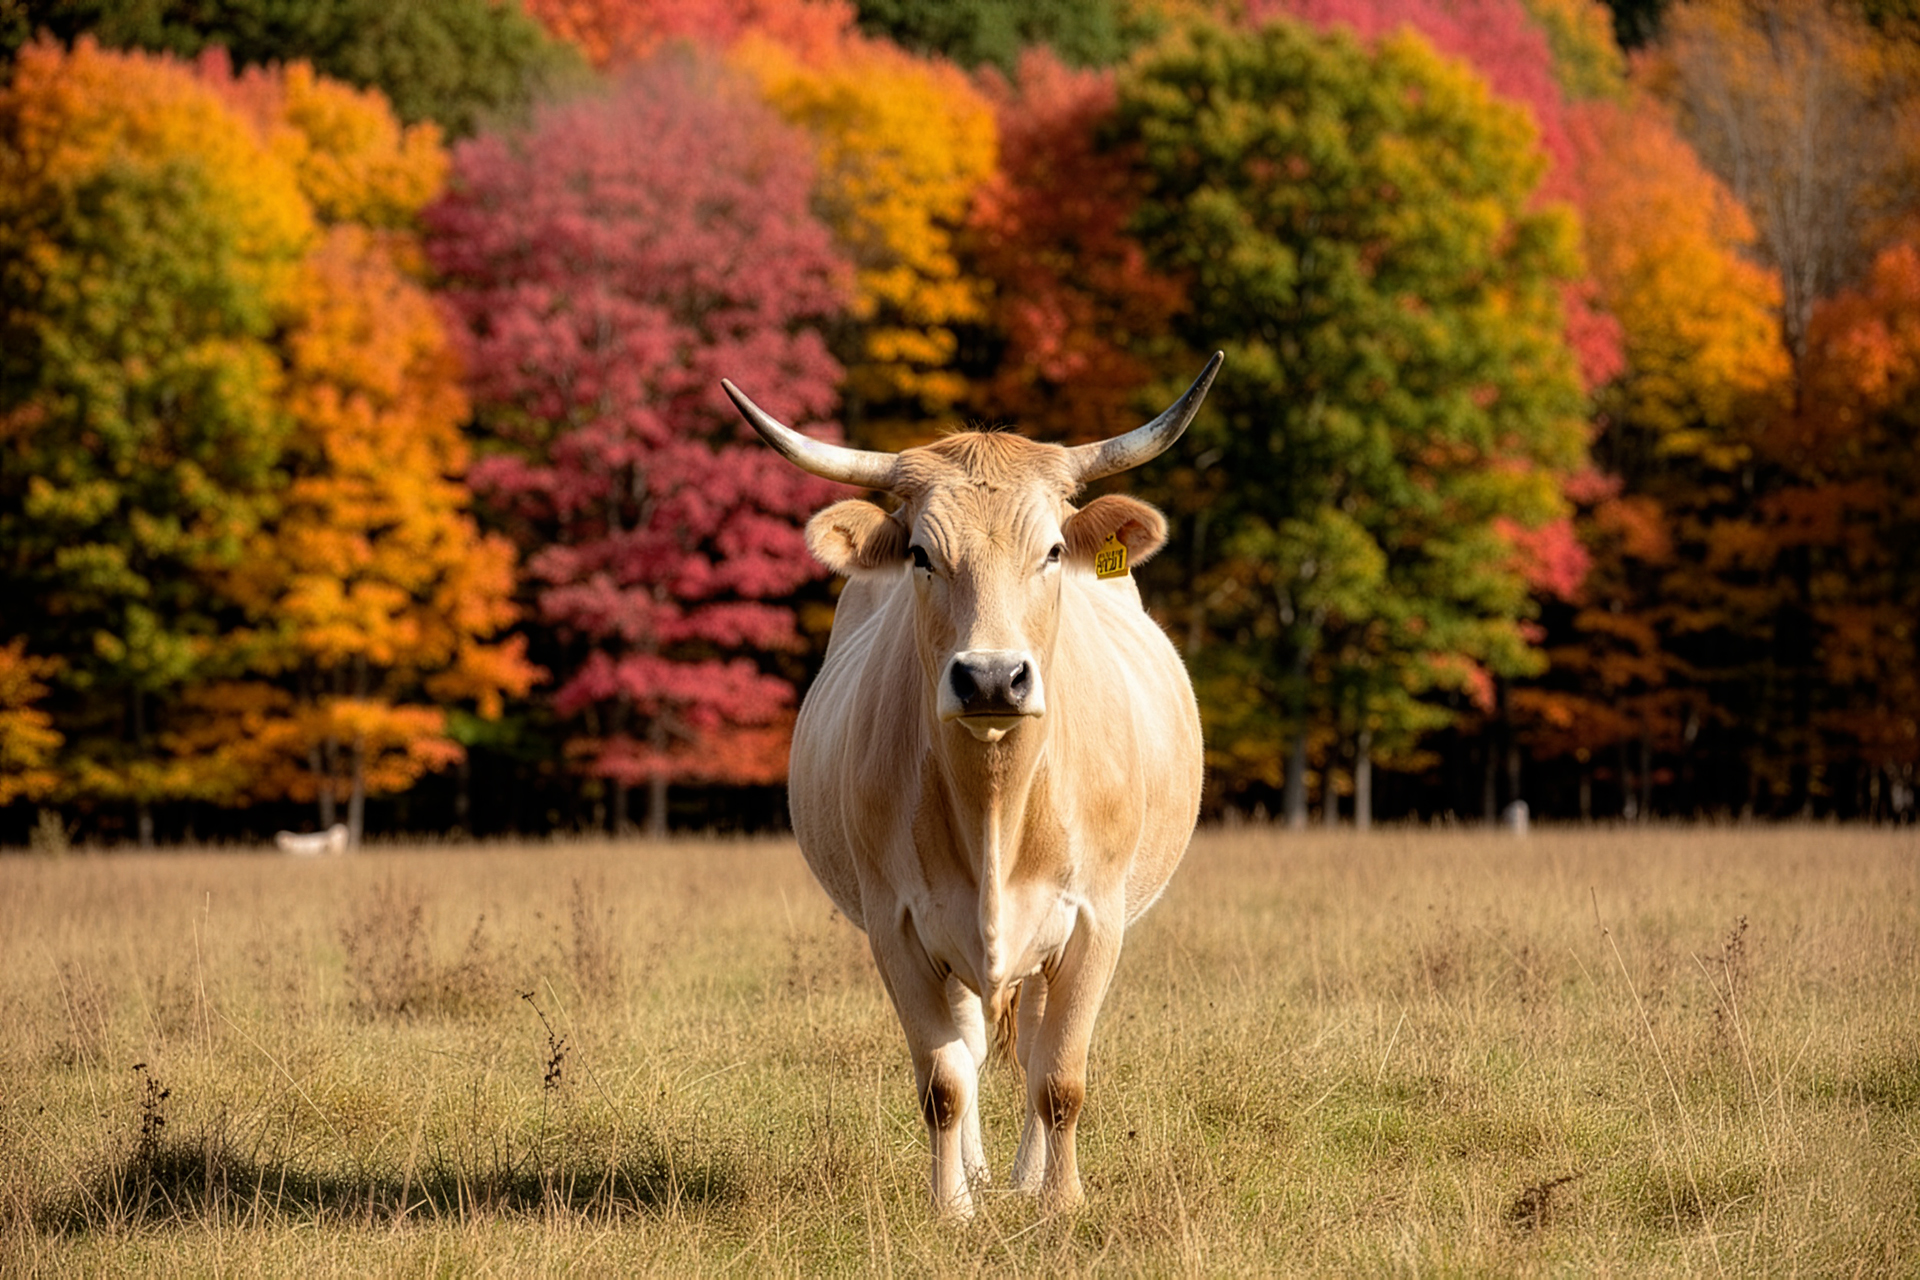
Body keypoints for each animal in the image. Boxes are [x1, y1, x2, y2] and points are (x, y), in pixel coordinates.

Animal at [722, 353, 1221, 1217]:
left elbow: (1059, 1079)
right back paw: (984, 1175)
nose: (991, 676)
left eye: (1052, 551)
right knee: (974, 1044)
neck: (997, 802)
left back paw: (1023, 1177)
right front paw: (952, 1208)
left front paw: (1060, 1203)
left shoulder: (1095, 921)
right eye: (922, 554)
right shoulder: (897, 925)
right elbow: (945, 1082)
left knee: (1030, 1051)